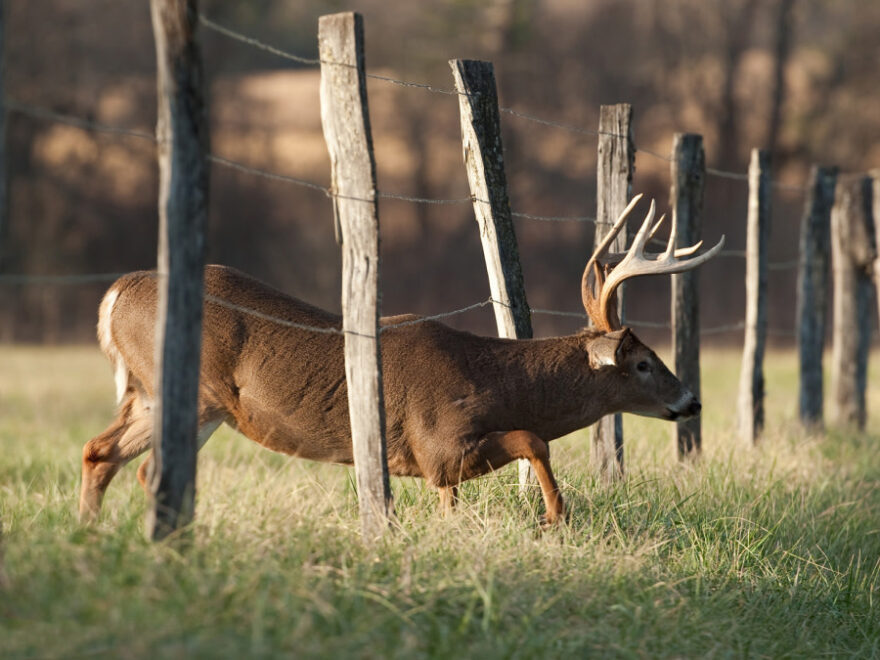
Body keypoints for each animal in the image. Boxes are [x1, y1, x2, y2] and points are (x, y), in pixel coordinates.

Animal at [79, 193, 720, 524]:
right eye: (643, 363)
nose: (692, 400)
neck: (491, 381)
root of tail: (114, 294)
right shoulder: (438, 440)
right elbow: (532, 438)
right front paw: (556, 515)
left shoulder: (439, 465)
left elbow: (455, 500)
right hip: (192, 392)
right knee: (147, 467)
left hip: (155, 394)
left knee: (101, 453)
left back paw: (92, 538)